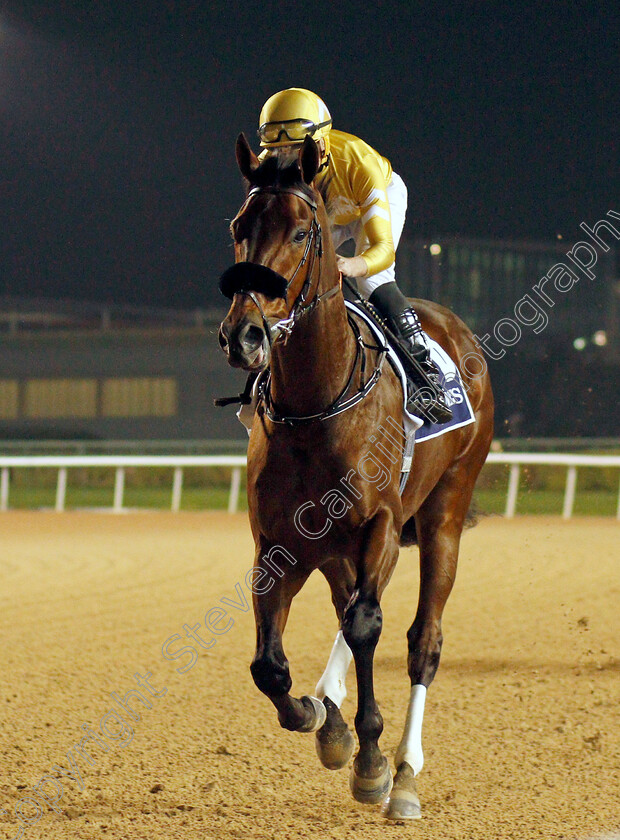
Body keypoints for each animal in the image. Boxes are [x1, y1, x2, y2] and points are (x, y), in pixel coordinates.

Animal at [218, 136, 494, 820]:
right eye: (238, 227)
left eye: (300, 231)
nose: (243, 335)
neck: (316, 403)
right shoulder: (279, 543)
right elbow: (270, 667)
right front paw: (324, 720)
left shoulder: (380, 524)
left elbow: (369, 626)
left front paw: (371, 760)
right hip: (342, 546)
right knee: (350, 610)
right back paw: (332, 705)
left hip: (443, 515)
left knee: (421, 639)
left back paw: (406, 774)